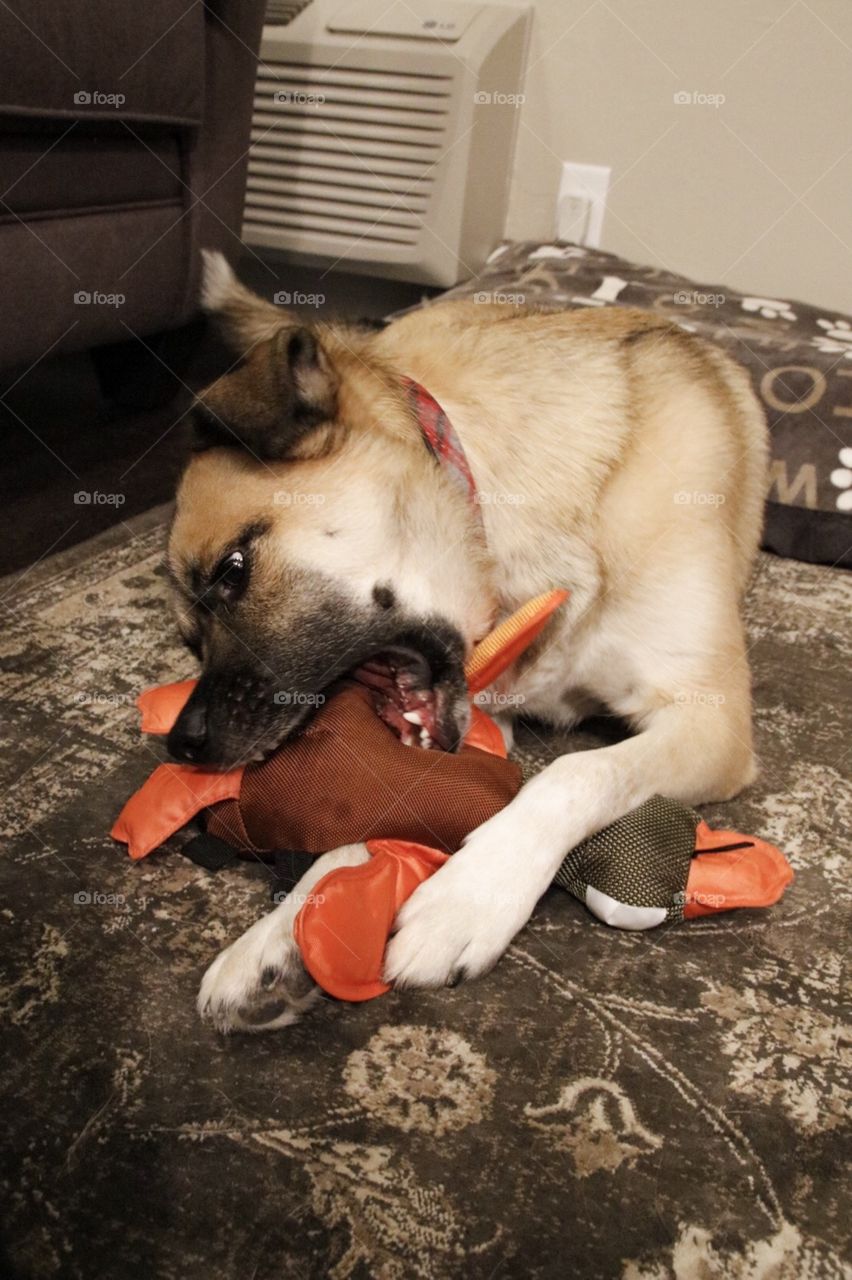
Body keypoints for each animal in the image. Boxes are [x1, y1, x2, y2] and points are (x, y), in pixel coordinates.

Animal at [167, 249, 767, 1029]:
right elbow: (397, 798)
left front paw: (468, 895)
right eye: (187, 643)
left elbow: (575, 773)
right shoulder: (475, 722)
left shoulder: (710, 722)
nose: (180, 746)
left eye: (233, 570)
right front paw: (285, 929)